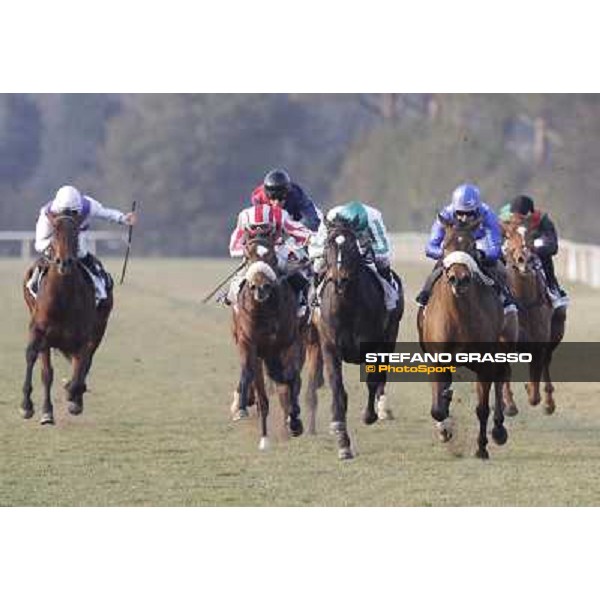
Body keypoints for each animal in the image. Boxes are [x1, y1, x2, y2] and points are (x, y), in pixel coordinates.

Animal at [22, 213, 113, 424]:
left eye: (76, 232)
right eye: (54, 231)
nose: (64, 262)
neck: (63, 298)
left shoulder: (85, 336)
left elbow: (82, 365)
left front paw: (73, 396)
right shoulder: (40, 330)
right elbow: (35, 360)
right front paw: (29, 406)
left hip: (100, 327)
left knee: (85, 362)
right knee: (49, 371)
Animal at [230, 232, 304, 448]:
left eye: (271, 256)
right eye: (248, 256)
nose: (260, 287)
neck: (265, 311)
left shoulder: (289, 343)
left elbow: (291, 378)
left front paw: (294, 422)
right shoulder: (250, 345)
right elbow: (254, 383)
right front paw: (263, 437)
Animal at [414, 216, 516, 460]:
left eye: (471, 245)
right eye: (444, 245)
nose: (458, 279)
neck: (459, 315)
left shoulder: (485, 363)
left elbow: (482, 408)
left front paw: (482, 448)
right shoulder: (438, 359)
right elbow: (438, 408)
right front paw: (445, 428)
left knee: (501, 377)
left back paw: (499, 430)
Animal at [502, 218, 568, 414]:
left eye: (534, 234)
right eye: (508, 235)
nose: (524, 259)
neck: (524, 300)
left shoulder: (539, 342)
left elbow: (534, 394)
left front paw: (532, 391)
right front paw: (509, 403)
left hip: (557, 329)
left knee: (547, 361)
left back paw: (548, 402)